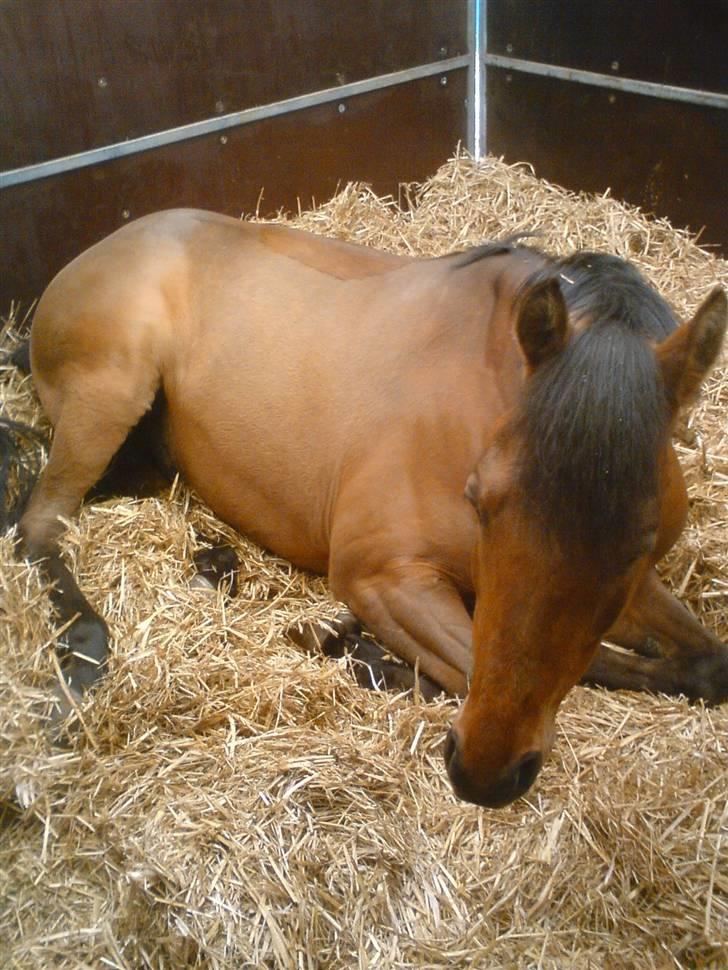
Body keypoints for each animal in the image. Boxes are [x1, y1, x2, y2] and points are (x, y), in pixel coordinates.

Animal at [1, 214, 728, 808]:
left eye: (643, 541)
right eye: (480, 498)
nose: (486, 773)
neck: (473, 398)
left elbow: (703, 661)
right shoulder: (381, 575)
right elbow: (484, 666)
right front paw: (359, 651)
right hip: (108, 395)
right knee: (38, 526)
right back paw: (83, 649)